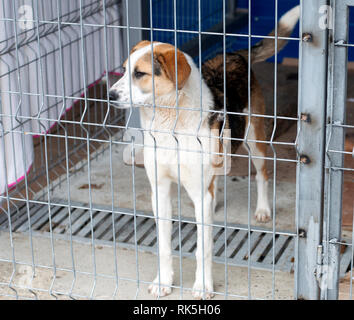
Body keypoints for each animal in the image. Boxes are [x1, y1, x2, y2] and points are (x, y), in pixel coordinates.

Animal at [109, 5, 300, 300]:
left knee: (262, 174)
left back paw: (262, 209)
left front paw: (202, 286)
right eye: (124, 70)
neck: (170, 124)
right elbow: (164, 245)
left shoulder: (200, 192)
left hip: (254, 140)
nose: (110, 95)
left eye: (140, 74)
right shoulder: (160, 190)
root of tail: (233, 54)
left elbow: (204, 249)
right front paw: (164, 281)